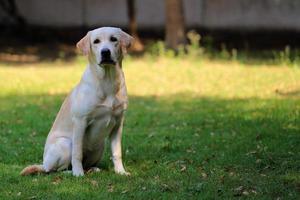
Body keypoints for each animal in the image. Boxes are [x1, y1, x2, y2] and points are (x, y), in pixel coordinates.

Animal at [20, 27, 133, 177]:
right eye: (96, 41)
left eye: (114, 39)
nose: (105, 52)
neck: (107, 81)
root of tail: (43, 164)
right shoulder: (80, 121)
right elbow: (77, 153)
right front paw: (78, 174)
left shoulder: (118, 123)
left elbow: (117, 152)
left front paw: (121, 172)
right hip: (65, 143)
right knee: (56, 170)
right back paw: (73, 172)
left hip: (99, 147)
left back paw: (92, 169)